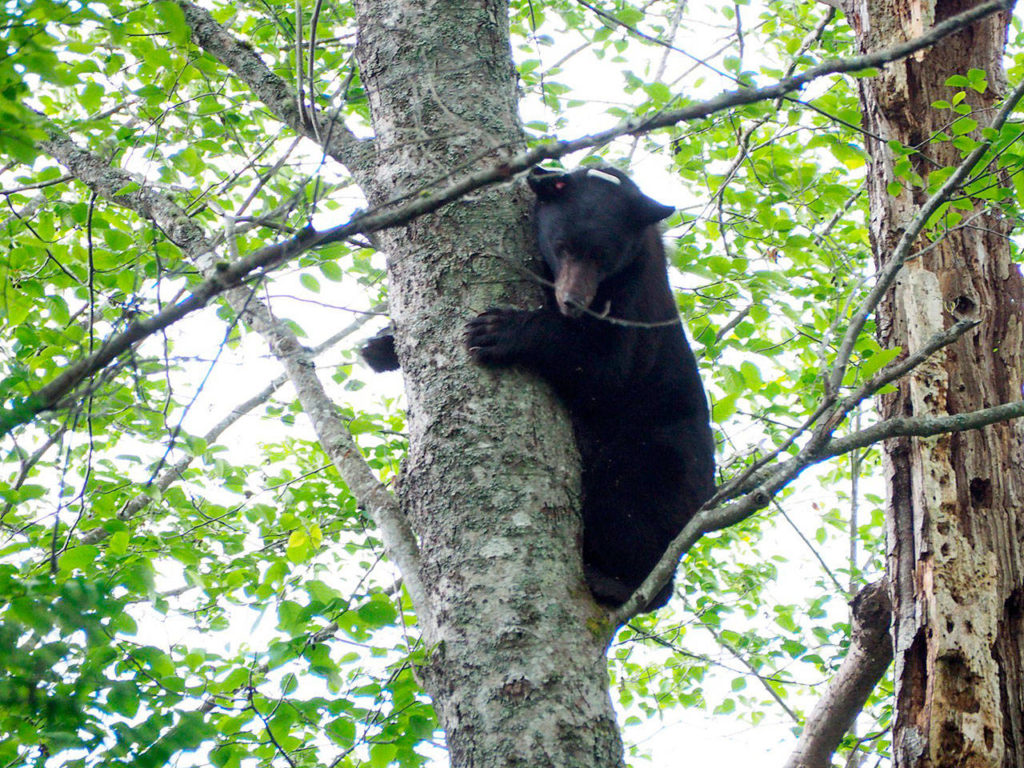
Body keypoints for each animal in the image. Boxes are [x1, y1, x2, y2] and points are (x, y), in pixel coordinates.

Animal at [364, 166, 716, 614]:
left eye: (604, 255)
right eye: (563, 246)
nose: (574, 302)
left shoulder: (636, 299)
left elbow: (604, 366)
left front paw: (497, 330)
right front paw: (379, 345)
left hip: (655, 456)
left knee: (629, 509)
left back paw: (614, 583)